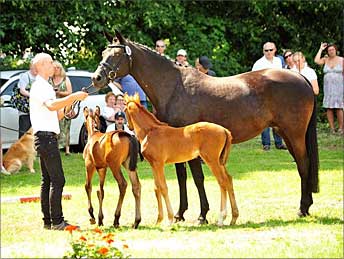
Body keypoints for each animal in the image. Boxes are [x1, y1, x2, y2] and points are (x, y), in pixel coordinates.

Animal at [123, 94, 239, 226]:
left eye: (124, 110)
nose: (128, 126)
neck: (150, 131)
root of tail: (225, 130)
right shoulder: (153, 165)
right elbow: (157, 188)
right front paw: (159, 220)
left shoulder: (159, 164)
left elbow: (163, 187)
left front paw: (169, 219)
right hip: (220, 161)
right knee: (229, 179)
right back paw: (234, 217)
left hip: (212, 160)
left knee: (222, 182)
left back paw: (221, 218)